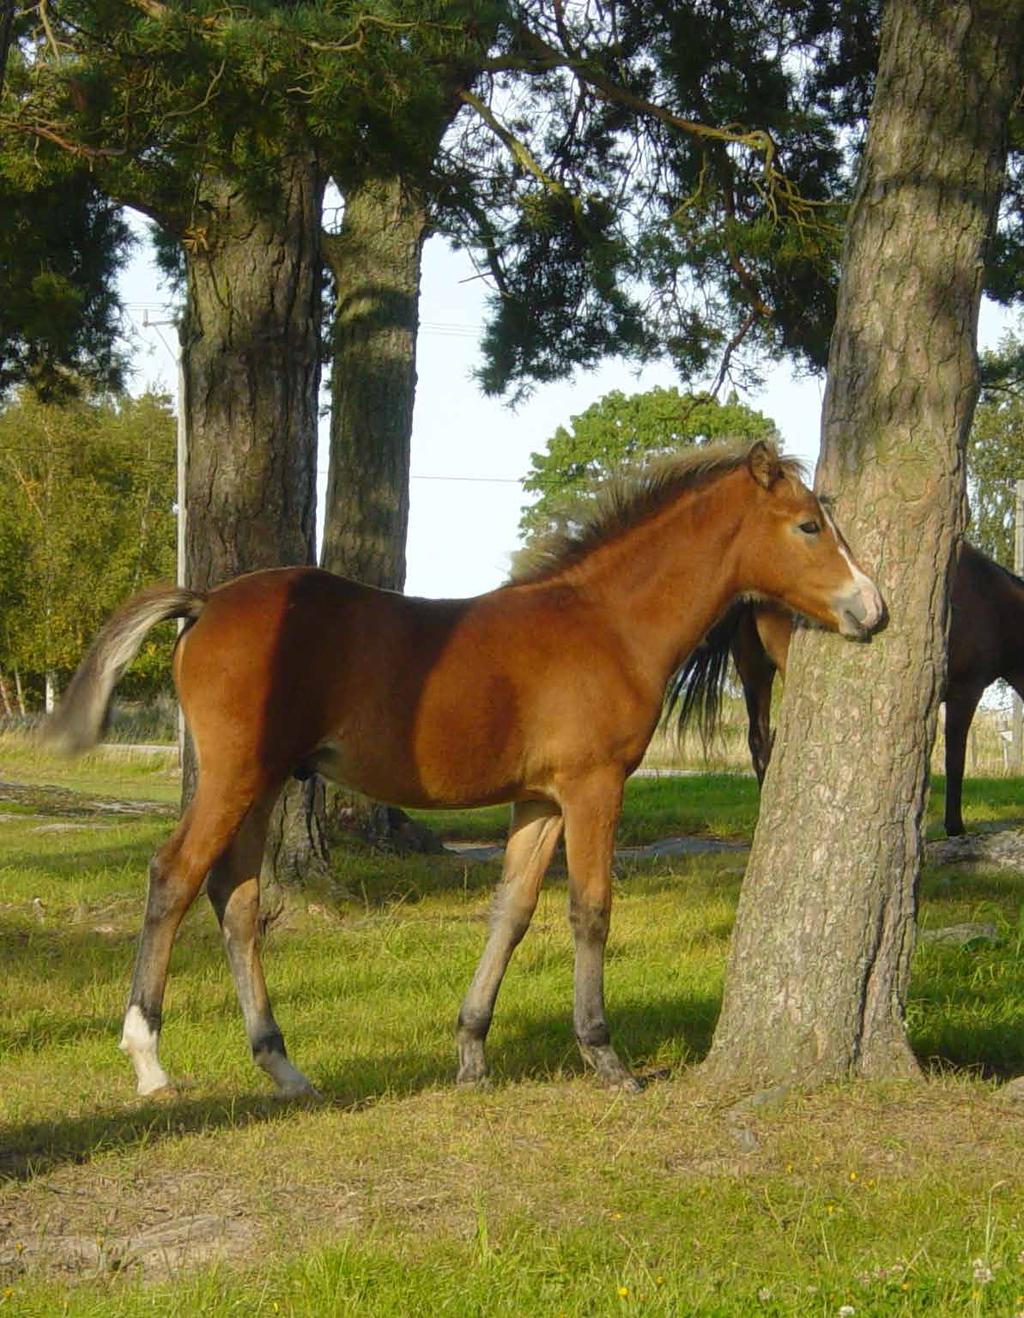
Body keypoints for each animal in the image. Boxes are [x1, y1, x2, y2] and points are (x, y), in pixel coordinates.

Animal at [43, 437, 880, 1096]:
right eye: (809, 525)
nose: (874, 609)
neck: (608, 623)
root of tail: (206, 600)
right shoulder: (593, 786)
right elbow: (591, 909)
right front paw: (606, 1057)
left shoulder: (540, 800)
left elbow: (511, 910)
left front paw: (472, 1049)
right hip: (233, 775)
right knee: (175, 877)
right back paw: (149, 1059)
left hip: (266, 781)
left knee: (237, 898)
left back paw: (281, 1064)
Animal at [672, 540, 1022, 838]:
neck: (995, 602)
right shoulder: (966, 691)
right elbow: (955, 760)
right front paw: (955, 826)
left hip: (754, 672)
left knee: (760, 744)